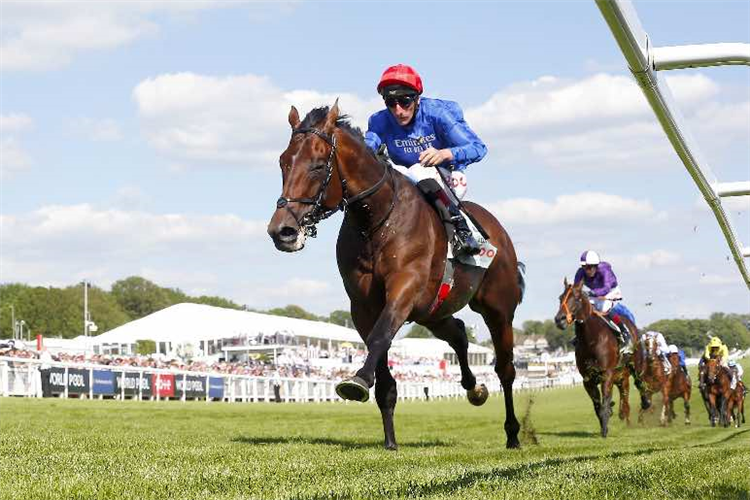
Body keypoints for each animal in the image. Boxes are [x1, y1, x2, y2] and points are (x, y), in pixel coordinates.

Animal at [268, 101, 524, 450]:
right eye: (283, 162)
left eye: (318, 166)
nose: (282, 231)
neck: (376, 221)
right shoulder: (363, 305)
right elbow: (382, 361)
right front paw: (390, 441)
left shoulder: (405, 287)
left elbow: (380, 336)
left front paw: (357, 380)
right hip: (433, 310)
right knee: (458, 333)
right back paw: (474, 388)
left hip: (497, 308)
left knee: (505, 369)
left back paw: (513, 434)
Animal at [552, 280, 640, 436]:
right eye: (560, 297)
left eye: (577, 298)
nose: (559, 319)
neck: (591, 339)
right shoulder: (588, 379)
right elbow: (598, 406)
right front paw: (606, 420)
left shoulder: (607, 374)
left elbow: (604, 402)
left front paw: (605, 428)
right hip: (620, 373)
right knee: (624, 391)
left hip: (632, 365)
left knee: (637, 385)